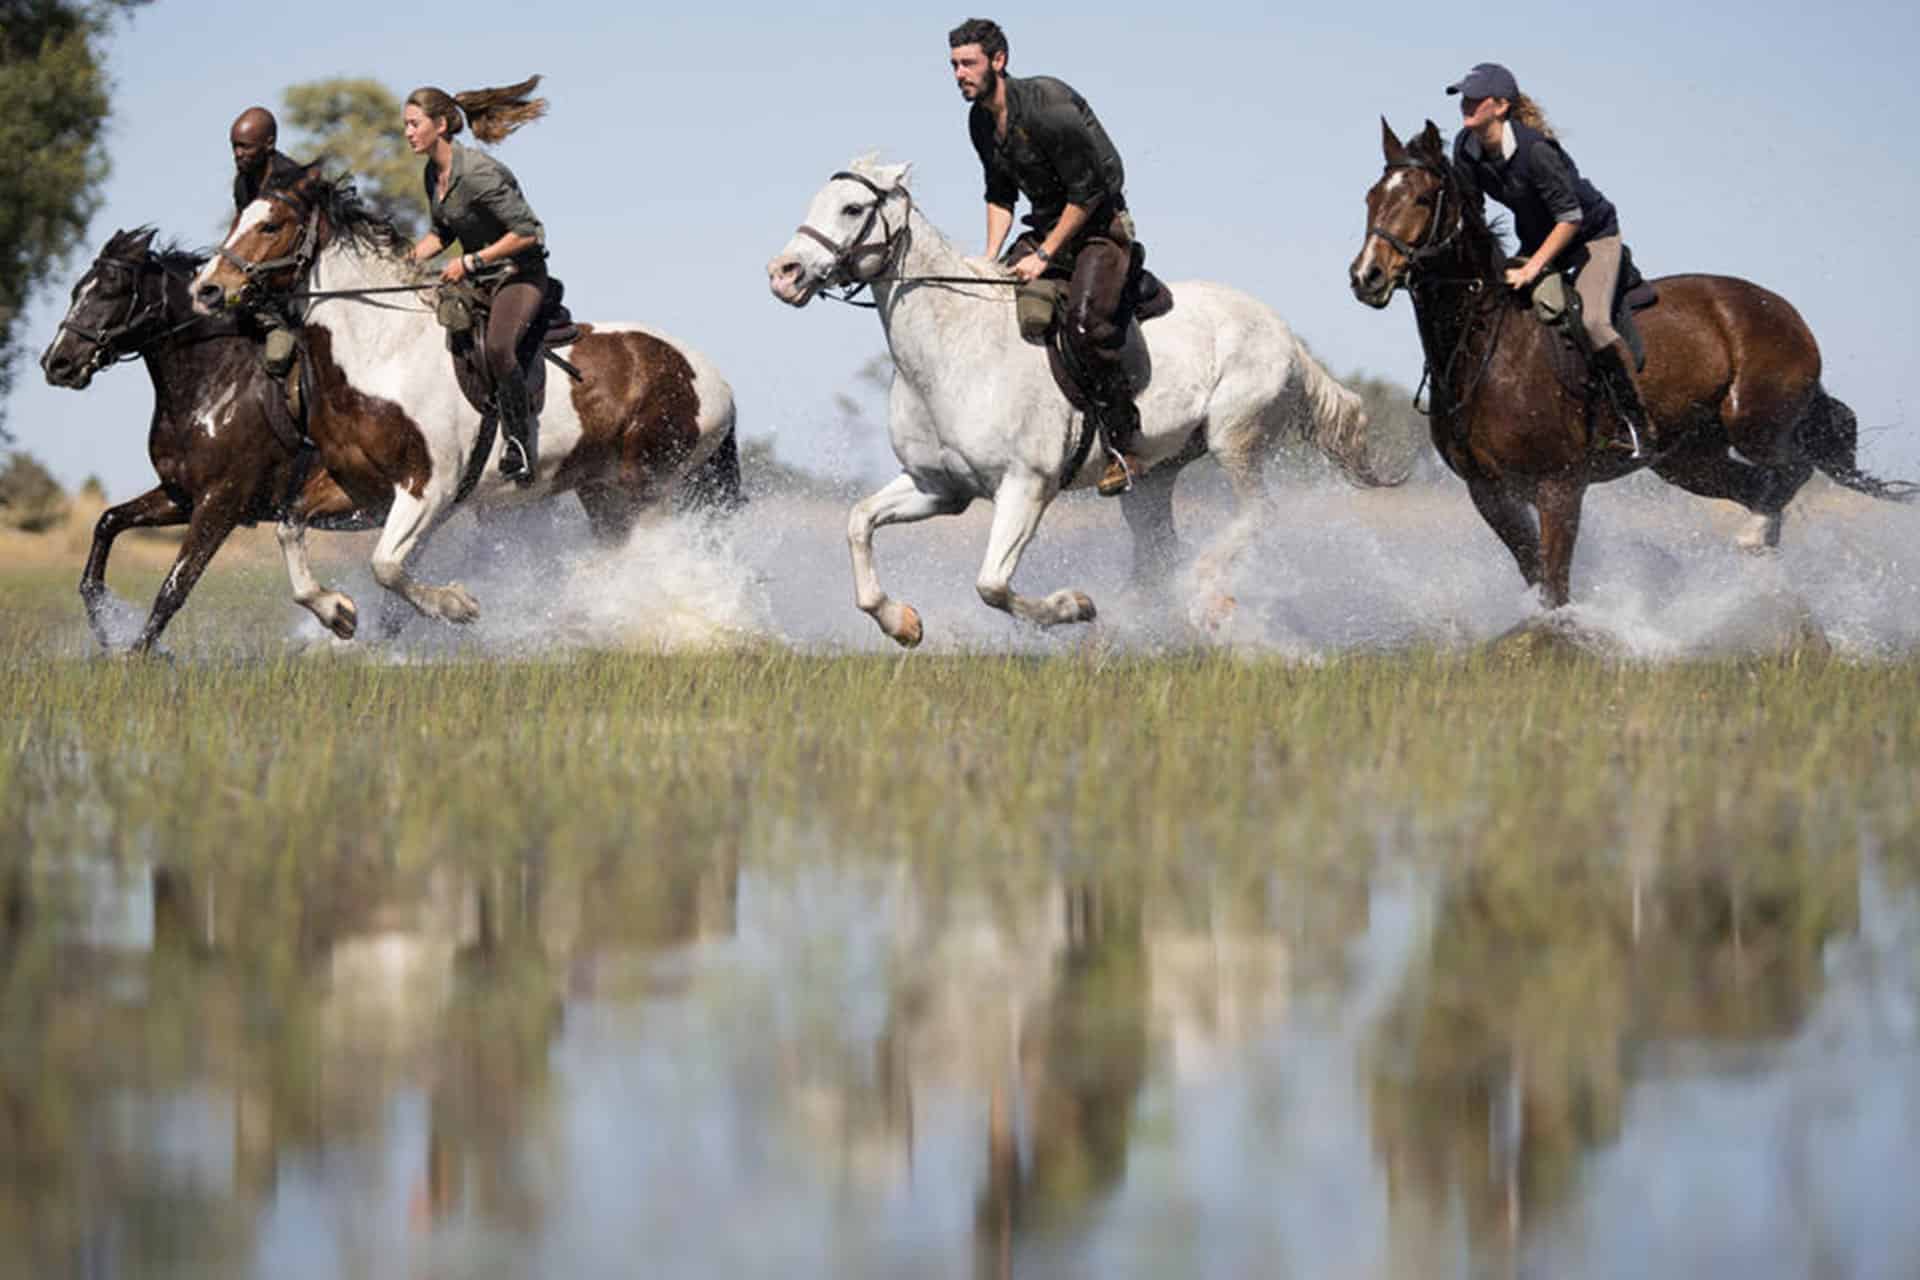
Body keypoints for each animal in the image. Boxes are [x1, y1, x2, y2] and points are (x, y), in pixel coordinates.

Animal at [39, 227, 374, 653]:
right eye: (77, 290)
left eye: (113, 289)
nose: (57, 363)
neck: (214, 387)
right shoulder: (181, 495)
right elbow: (108, 522)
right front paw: (104, 624)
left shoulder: (221, 503)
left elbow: (176, 585)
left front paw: (139, 654)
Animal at [188, 165, 741, 636]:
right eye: (238, 219)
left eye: (271, 225)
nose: (206, 289)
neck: (381, 350)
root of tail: (716, 380)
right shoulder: (362, 490)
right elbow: (290, 528)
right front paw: (336, 611)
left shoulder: (429, 488)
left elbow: (385, 565)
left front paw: (457, 605)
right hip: (602, 490)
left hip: (649, 484)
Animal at [767, 157, 1405, 648]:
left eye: (852, 209)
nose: (783, 273)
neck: (954, 349)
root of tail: (1287, 336)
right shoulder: (938, 488)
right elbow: (858, 522)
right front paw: (902, 624)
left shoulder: (1026, 486)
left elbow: (991, 584)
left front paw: (1076, 607)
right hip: (1151, 479)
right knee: (1158, 554)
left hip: (1237, 441)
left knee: (1257, 515)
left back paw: (1206, 598)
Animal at [1349, 120, 1914, 610]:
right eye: (1372, 198)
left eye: (1422, 198)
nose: (1366, 277)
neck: (1487, 345)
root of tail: (1787, 313)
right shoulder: (1489, 493)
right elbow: (1535, 574)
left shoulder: (1559, 487)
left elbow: (1556, 583)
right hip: (1688, 459)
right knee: (1759, 486)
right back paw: (1758, 552)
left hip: (1753, 422)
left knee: (1792, 467)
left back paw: (1756, 536)